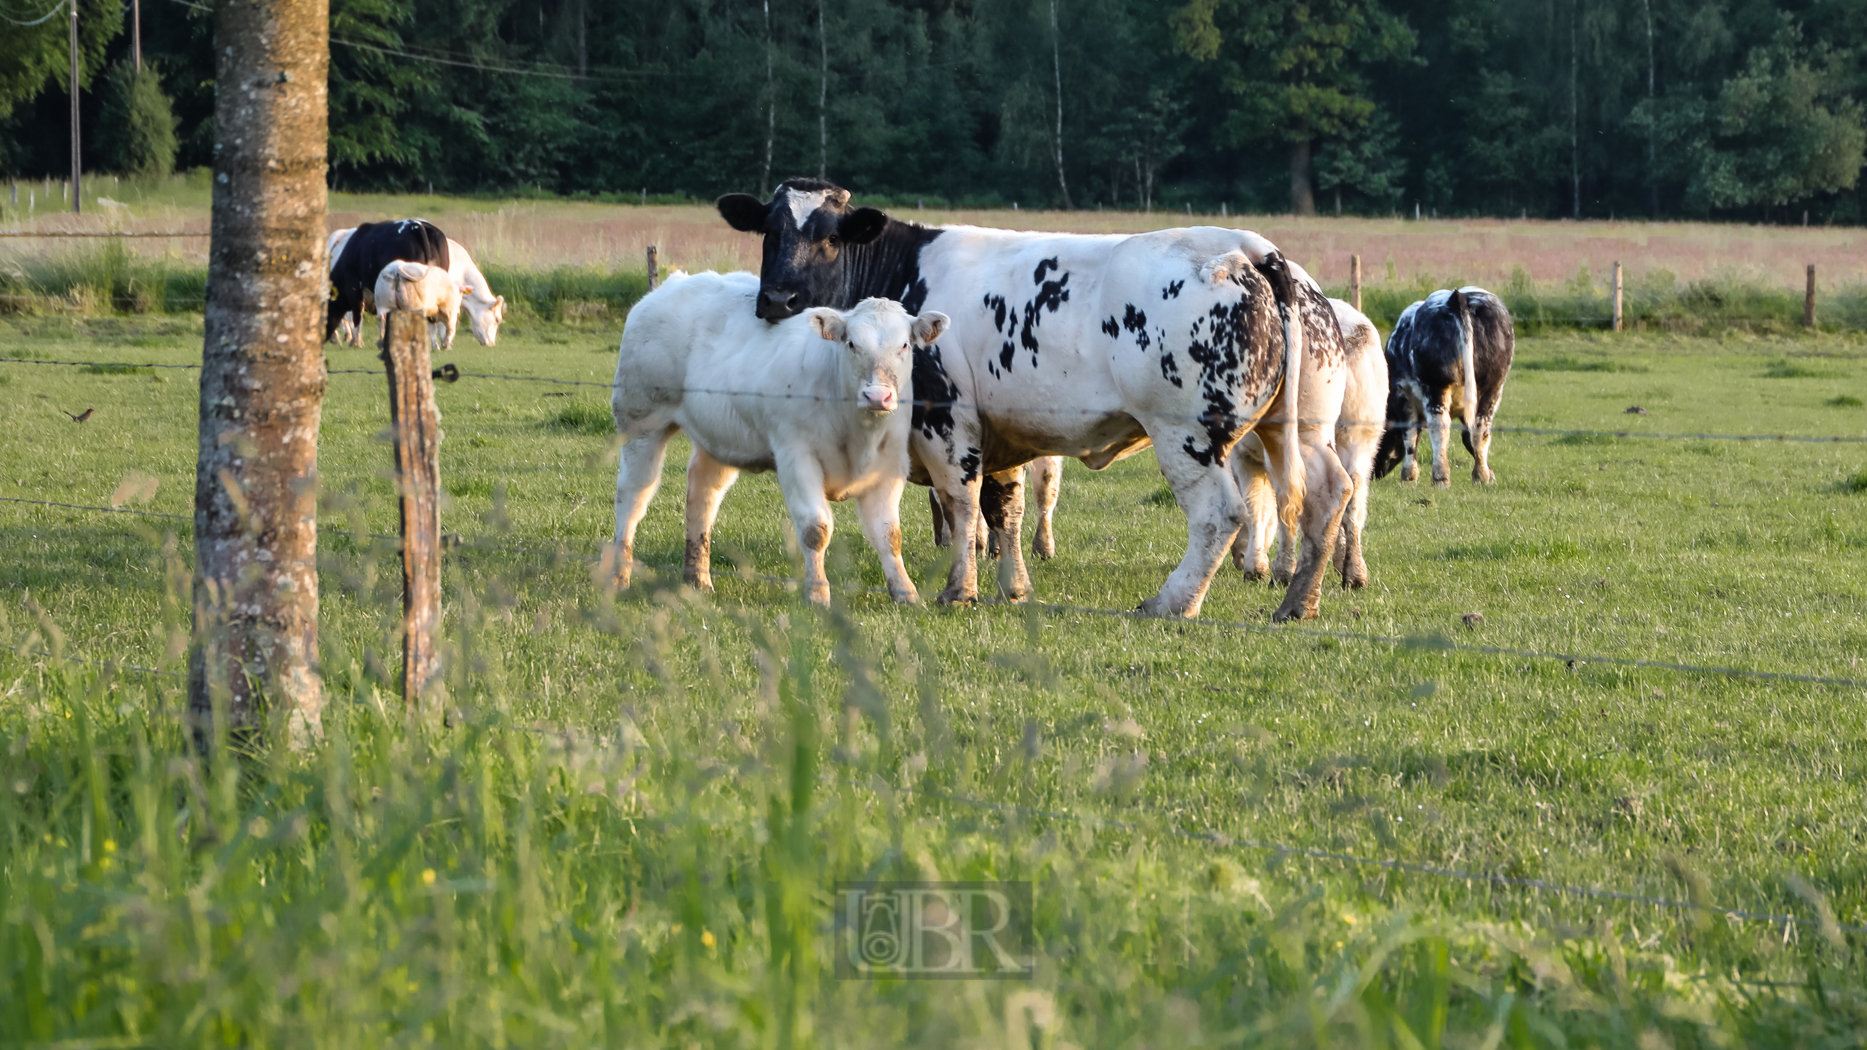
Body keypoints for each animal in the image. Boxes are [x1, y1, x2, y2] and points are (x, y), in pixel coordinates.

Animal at [612, 270, 948, 605]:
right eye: (852, 344)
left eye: (904, 345)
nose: (877, 396)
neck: (858, 432)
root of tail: (676, 282)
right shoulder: (796, 456)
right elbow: (816, 528)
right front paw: (817, 594)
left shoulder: (890, 465)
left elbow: (889, 535)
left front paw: (905, 591)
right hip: (640, 422)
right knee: (633, 496)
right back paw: (618, 576)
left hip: (718, 436)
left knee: (702, 493)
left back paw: (698, 578)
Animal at [713, 176, 1344, 616]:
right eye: (770, 231)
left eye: (828, 237)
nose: (779, 299)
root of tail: (1246, 246)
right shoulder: (1001, 429)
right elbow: (1004, 508)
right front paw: (1012, 588)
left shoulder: (946, 419)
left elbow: (962, 503)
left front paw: (959, 589)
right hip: (1305, 427)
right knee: (1329, 493)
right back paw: (1298, 603)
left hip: (1184, 431)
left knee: (1219, 514)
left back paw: (1173, 603)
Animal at [1374, 283, 1516, 485]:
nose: (1373, 473)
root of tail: (1458, 297)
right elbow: (1468, 438)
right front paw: (1489, 474)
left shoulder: (1403, 394)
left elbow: (1409, 435)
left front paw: (1408, 476)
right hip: (1492, 387)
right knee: (1481, 428)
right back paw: (1481, 475)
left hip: (1436, 387)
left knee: (1440, 428)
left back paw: (1440, 477)